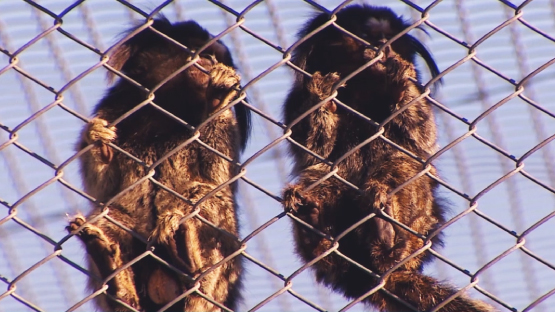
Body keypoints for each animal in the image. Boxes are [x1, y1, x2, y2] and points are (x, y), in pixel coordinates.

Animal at [66, 17, 251, 312]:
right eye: (199, 51)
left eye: (216, 58)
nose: (209, 62)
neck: (167, 107)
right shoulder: (115, 109)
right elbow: (101, 186)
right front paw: (98, 141)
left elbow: (218, 176)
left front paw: (215, 102)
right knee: (108, 215)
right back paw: (116, 277)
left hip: (224, 276)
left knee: (204, 198)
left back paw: (189, 264)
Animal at [282, 4, 496, 312]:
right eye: (366, 35)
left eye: (391, 39)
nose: (382, 47)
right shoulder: (296, 99)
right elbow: (311, 150)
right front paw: (323, 96)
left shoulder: (419, 92)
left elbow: (420, 140)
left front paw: (396, 82)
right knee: (321, 174)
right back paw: (314, 226)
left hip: (421, 232)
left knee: (402, 167)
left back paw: (387, 239)